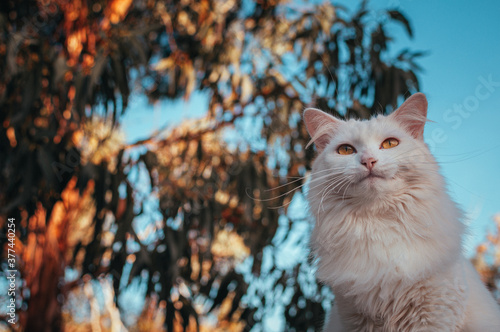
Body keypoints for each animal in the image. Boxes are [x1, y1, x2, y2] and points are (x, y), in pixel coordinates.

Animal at [302, 93, 500, 332]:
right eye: (346, 150)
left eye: (390, 144)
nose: (368, 160)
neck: (379, 226)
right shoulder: (357, 319)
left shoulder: (433, 316)